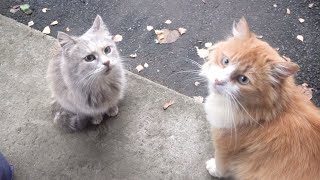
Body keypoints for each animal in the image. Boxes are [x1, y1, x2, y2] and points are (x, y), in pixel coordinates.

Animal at [201, 17, 320, 180]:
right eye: (225, 61)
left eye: (243, 79)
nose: (217, 81)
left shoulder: (224, 146)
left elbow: (221, 166)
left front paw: (213, 168)